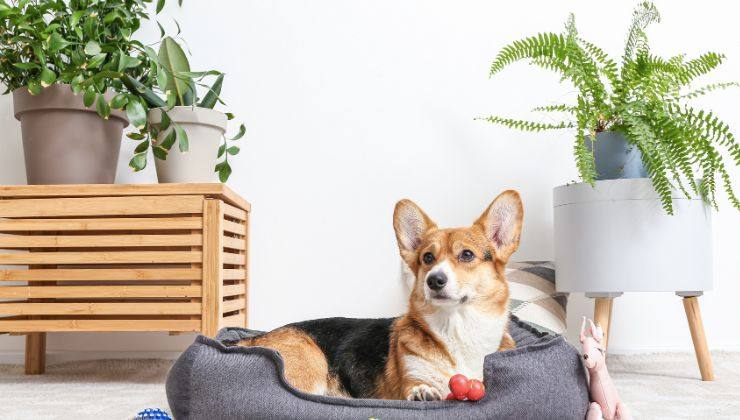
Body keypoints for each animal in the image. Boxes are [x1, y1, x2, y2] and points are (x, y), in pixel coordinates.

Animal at [234, 190, 524, 400]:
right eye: (427, 258)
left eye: (466, 255)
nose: (434, 281)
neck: (458, 327)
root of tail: (254, 340)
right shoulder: (412, 376)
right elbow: (419, 386)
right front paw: (423, 392)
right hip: (309, 365)